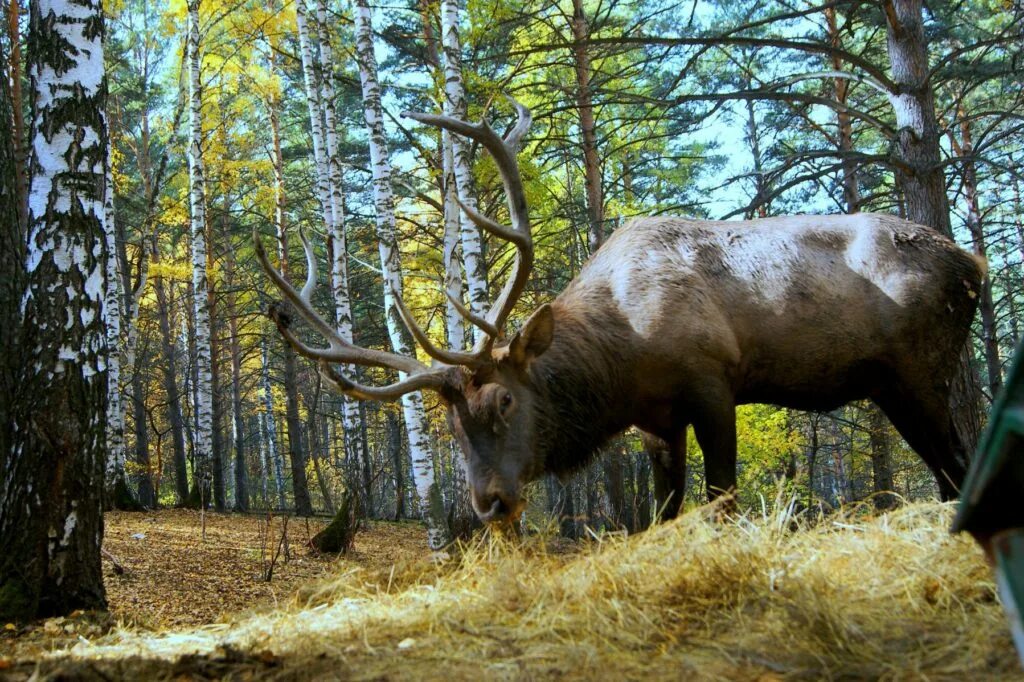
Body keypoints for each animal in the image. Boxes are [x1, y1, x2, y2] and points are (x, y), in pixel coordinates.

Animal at [256, 100, 983, 522]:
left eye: (506, 400)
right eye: (451, 425)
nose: (491, 503)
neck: (625, 359)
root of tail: (975, 266)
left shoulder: (713, 381)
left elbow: (722, 497)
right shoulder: (656, 420)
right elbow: (663, 512)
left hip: (921, 369)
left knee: (958, 463)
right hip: (893, 383)